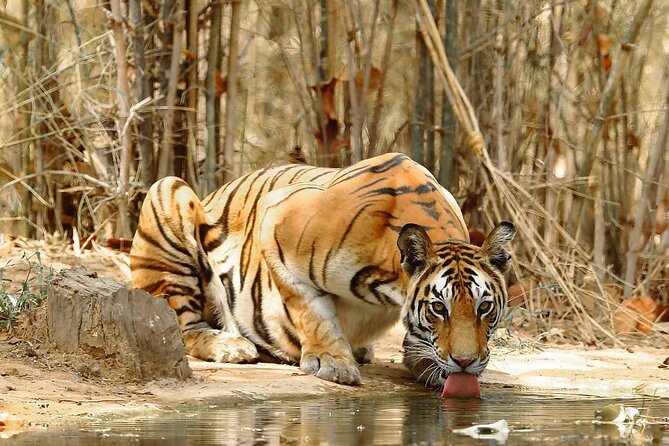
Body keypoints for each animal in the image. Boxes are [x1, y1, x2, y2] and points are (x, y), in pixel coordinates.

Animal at [130, 153, 515, 387]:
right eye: (438, 308)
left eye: (484, 307)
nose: (465, 362)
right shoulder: (275, 221)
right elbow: (311, 309)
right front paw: (333, 363)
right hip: (168, 193)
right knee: (182, 327)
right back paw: (231, 345)